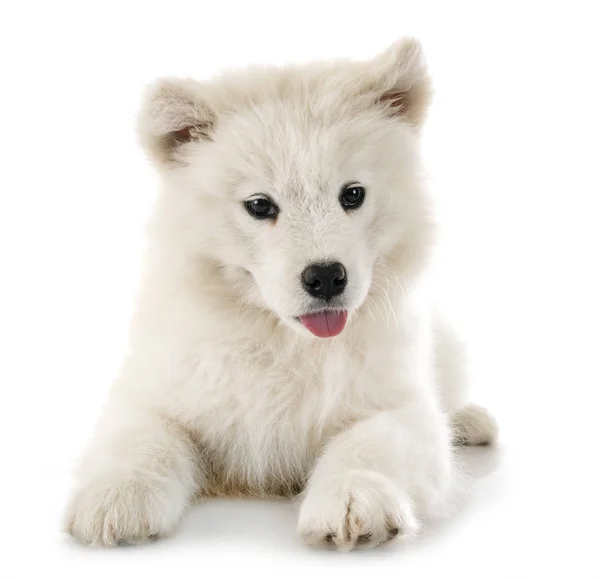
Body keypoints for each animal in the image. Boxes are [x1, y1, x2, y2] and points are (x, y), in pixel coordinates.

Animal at [64, 38, 496, 552]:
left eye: (353, 195)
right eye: (259, 206)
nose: (326, 277)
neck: (286, 345)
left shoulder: (399, 407)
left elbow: (366, 447)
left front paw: (354, 500)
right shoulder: (155, 392)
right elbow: (143, 439)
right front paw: (114, 499)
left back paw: (470, 422)